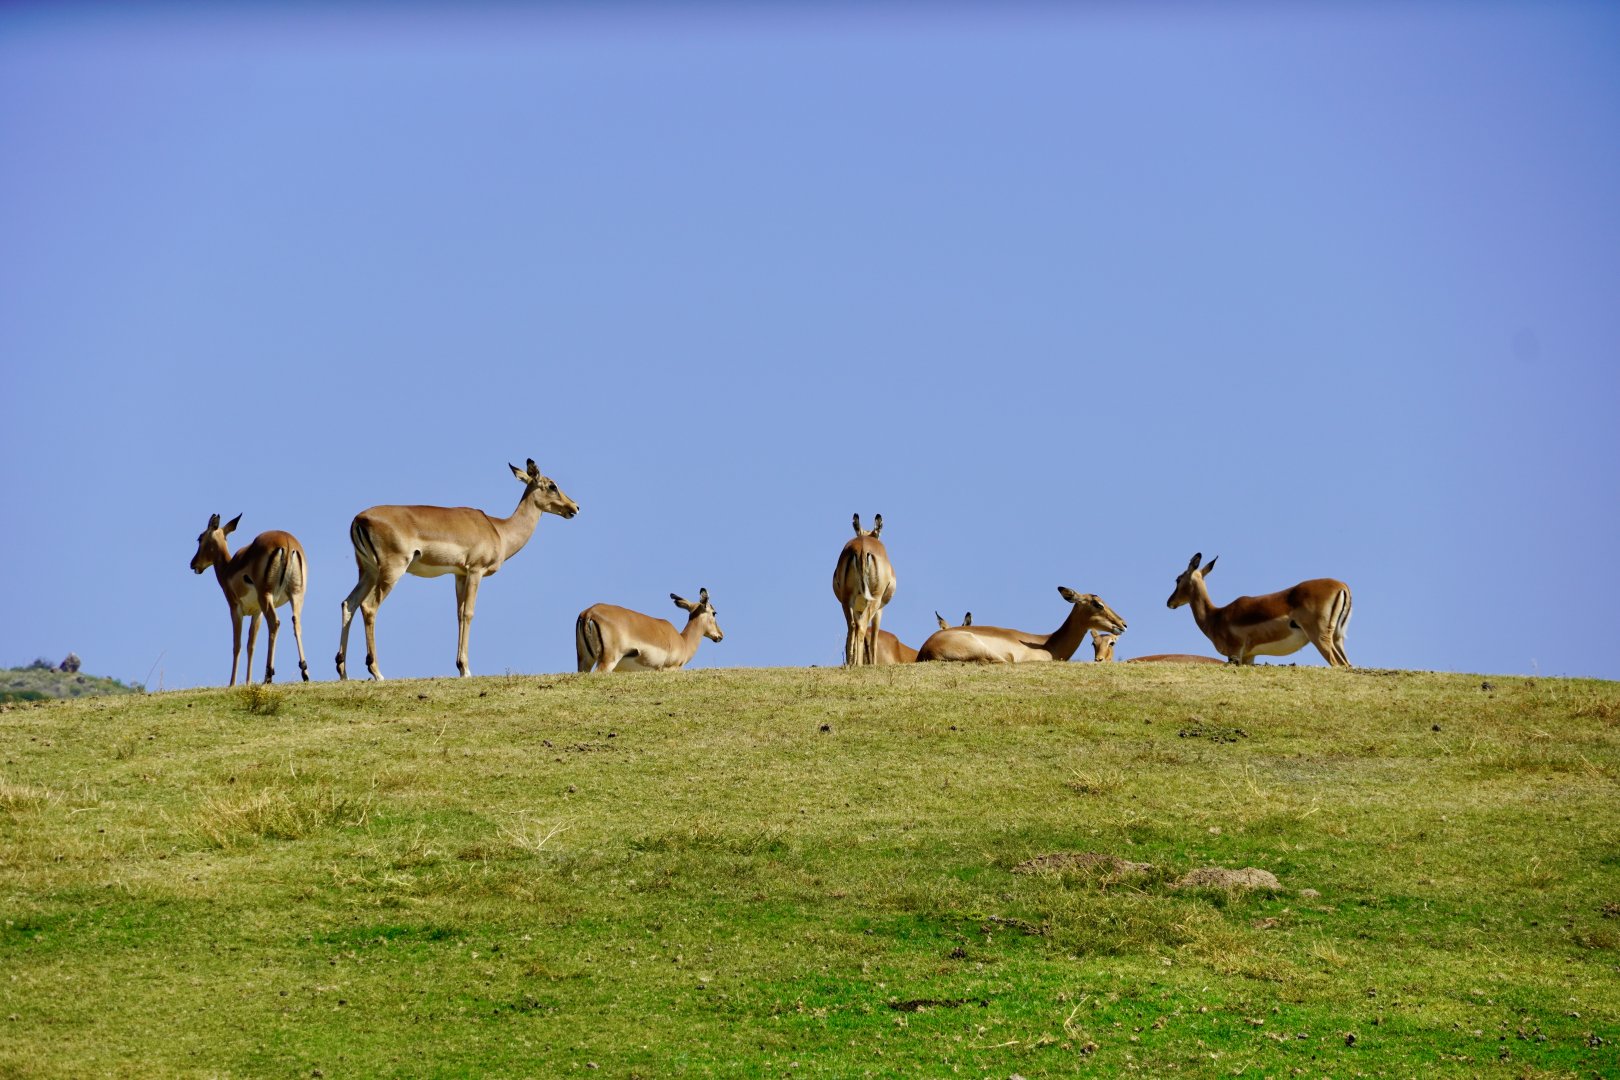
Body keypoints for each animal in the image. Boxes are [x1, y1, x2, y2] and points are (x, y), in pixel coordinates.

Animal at [190, 513, 309, 686]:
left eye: (200, 538)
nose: (193, 564)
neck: (228, 568)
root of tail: (287, 543)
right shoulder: (257, 612)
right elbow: (251, 645)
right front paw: (247, 682)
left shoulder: (235, 609)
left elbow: (237, 645)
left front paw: (232, 683)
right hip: (296, 595)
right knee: (296, 623)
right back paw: (305, 672)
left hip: (266, 596)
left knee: (275, 623)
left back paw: (268, 676)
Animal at [336, 459, 579, 680]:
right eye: (552, 485)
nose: (575, 507)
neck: (498, 530)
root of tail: (359, 518)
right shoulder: (475, 571)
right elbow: (469, 613)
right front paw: (466, 669)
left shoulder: (459, 575)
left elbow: (459, 614)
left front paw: (460, 667)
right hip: (391, 572)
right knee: (369, 607)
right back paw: (377, 672)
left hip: (368, 572)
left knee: (349, 604)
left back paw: (343, 672)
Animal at [576, 589, 723, 673]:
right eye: (714, 613)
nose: (720, 635)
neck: (683, 641)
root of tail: (589, 612)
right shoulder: (669, 669)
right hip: (608, 660)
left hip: (585, 661)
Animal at [831, 513, 896, 666]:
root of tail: (862, 548)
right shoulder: (880, 609)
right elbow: (874, 639)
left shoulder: (857, 607)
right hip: (874, 600)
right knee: (861, 628)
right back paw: (859, 664)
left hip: (846, 600)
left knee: (852, 627)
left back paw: (851, 664)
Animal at [1166, 553, 1352, 667]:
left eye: (1178, 579)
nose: (1170, 602)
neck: (1216, 616)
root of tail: (1342, 586)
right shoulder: (1249, 656)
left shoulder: (1235, 654)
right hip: (1337, 639)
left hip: (1320, 638)